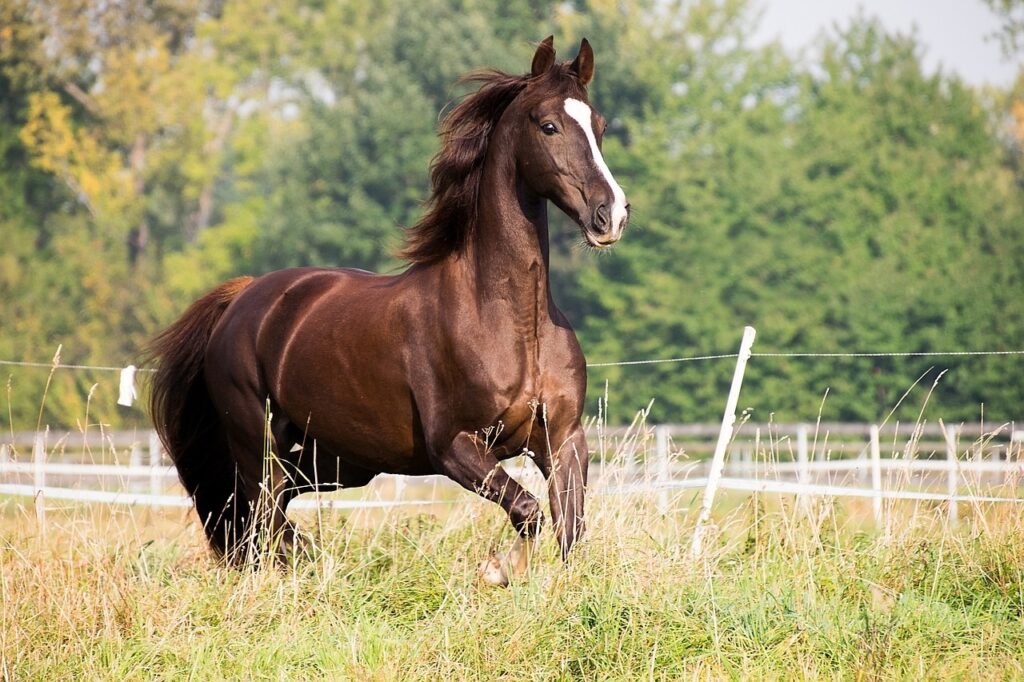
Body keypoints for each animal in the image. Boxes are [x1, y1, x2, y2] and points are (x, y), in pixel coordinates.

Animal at [147, 36, 629, 585]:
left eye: (599, 125)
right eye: (548, 125)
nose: (611, 215)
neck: (511, 321)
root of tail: (244, 299)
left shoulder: (564, 441)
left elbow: (570, 528)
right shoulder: (454, 446)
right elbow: (527, 511)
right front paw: (498, 570)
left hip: (330, 461)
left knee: (268, 519)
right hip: (257, 447)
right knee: (262, 521)